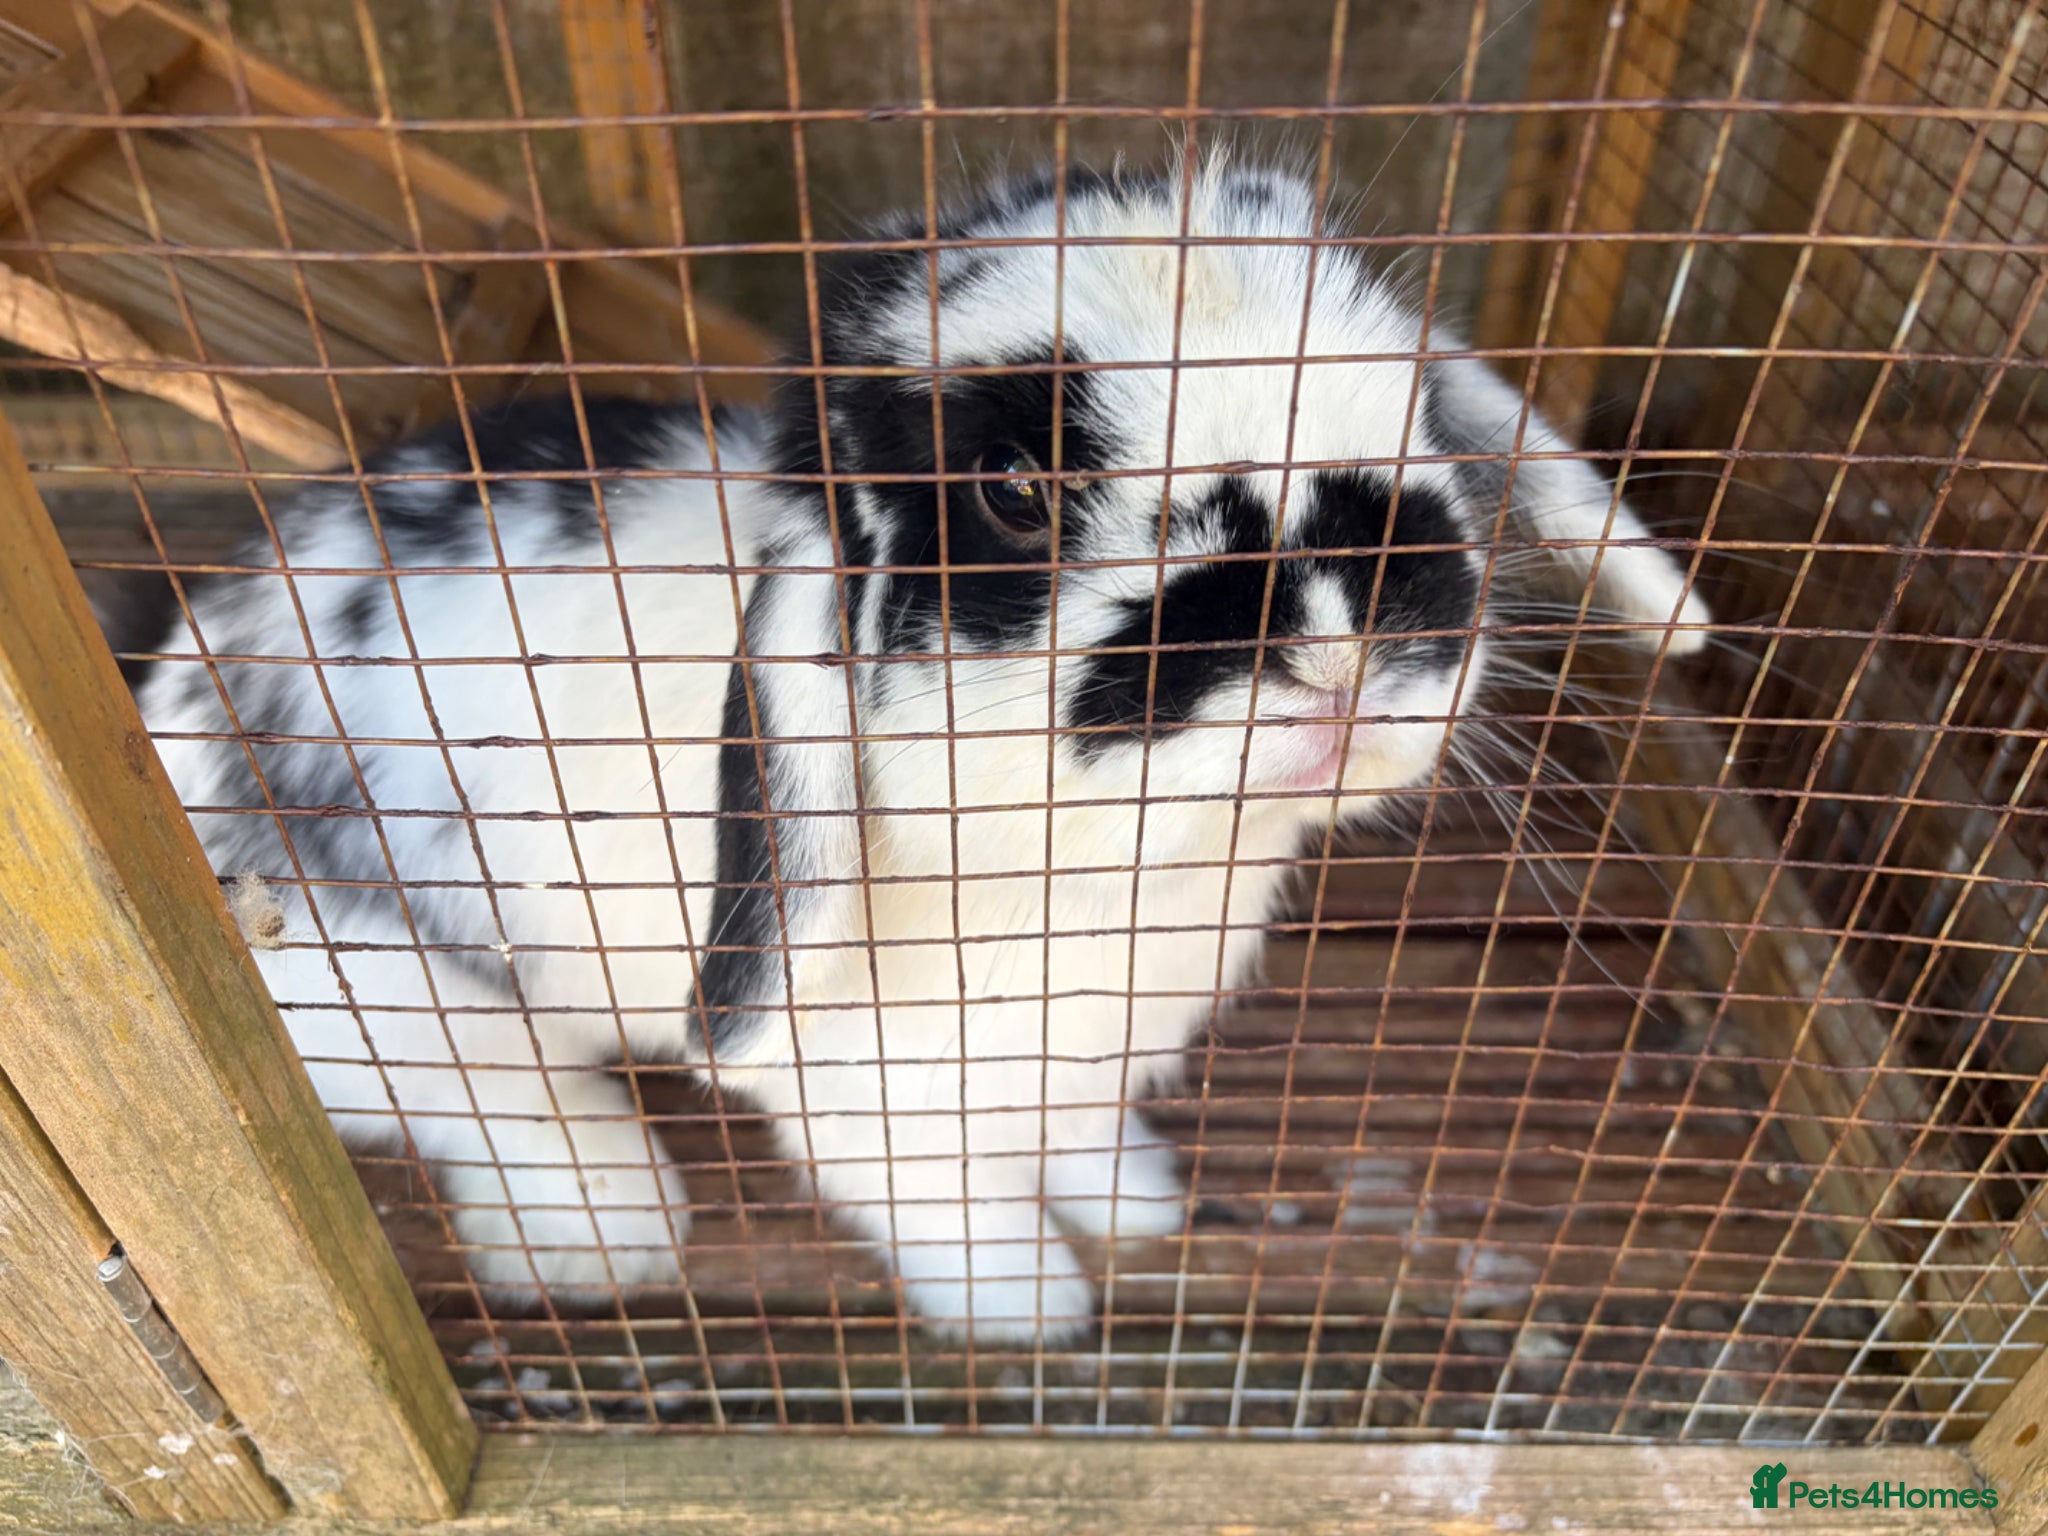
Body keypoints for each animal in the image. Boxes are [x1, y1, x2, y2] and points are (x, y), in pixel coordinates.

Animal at [133, 154, 1709, 1342]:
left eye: (1409, 410)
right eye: (1012, 489)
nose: (1338, 633)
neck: (1127, 866)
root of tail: (187, 667)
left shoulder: (1070, 1062)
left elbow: (1070, 1140)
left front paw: (1132, 1202)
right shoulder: (872, 1097)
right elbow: (953, 1209)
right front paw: (1034, 1309)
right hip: (382, 980)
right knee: (491, 1102)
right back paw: (610, 1232)